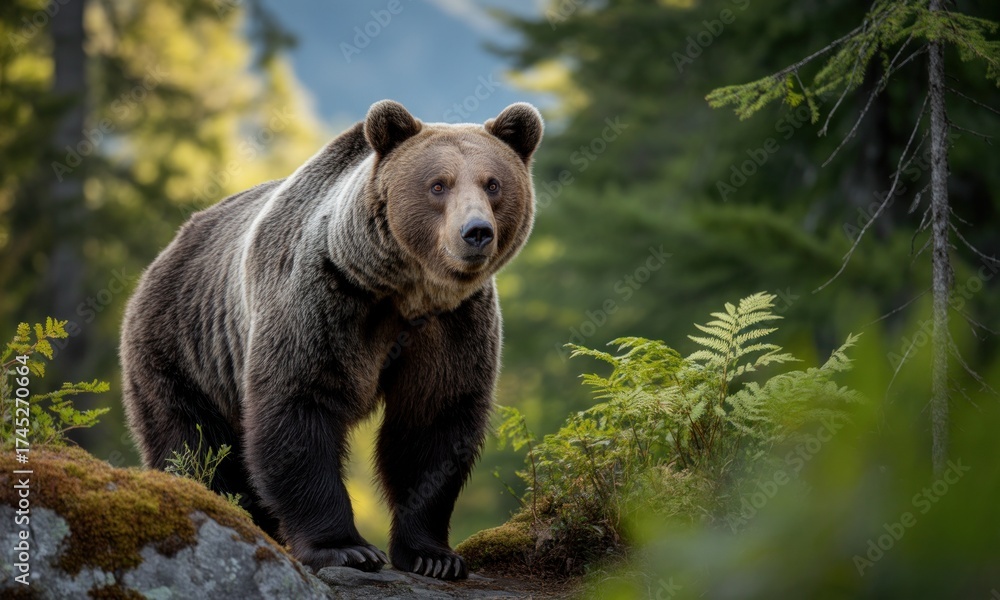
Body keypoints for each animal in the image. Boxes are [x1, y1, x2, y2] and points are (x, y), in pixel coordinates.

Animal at [119, 100, 543, 580]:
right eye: (438, 184)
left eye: (493, 184)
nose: (476, 232)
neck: (405, 291)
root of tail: (169, 249)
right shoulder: (322, 301)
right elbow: (300, 407)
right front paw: (346, 548)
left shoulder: (453, 325)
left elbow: (432, 423)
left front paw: (434, 556)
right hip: (182, 348)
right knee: (191, 442)